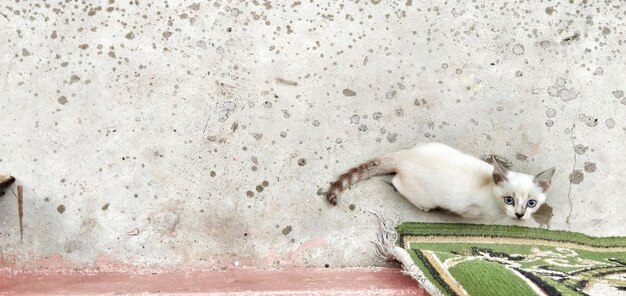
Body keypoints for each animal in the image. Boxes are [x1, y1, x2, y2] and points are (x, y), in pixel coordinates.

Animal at [324, 142, 552, 221]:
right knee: (398, 184)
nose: (520, 214)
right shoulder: (470, 210)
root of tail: (405, 156)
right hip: (423, 196)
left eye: (531, 203)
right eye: (509, 200)